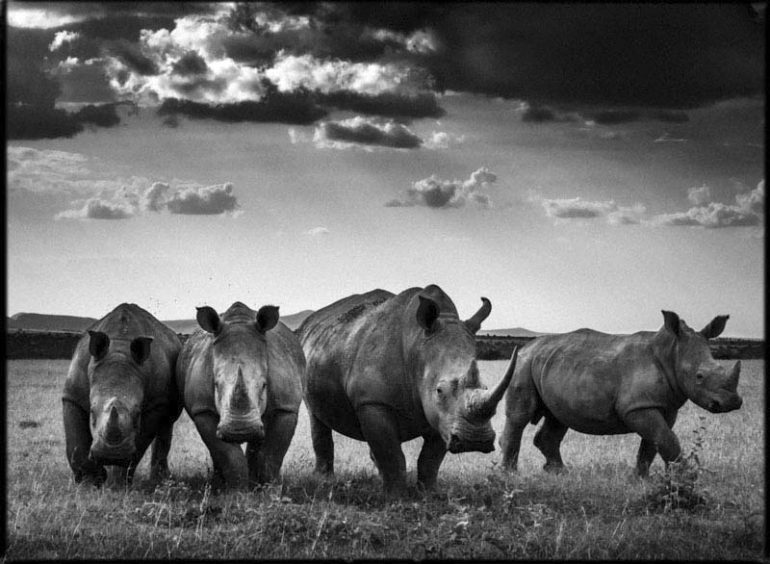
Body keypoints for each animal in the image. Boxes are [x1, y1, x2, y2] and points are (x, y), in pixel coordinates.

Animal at [62, 303, 182, 486]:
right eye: (92, 412)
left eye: (138, 413)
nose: (111, 455)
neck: (120, 350)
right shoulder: (72, 394)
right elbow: (75, 441)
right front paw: (89, 482)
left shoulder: (156, 403)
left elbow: (140, 443)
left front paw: (117, 482)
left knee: (167, 423)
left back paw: (161, 480)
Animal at [176, 302, 304, 489]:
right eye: (216, 385)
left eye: (264, 385)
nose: (240, 431)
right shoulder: (203, 410)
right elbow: (228, 456)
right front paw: (237, 491)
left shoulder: (286, 407)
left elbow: (271, 455)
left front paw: (270, 491)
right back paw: (219, 485)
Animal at [298, 285, 517, 495]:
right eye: (439, 390)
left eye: (485, 387)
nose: (475, 440)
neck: (418, 346)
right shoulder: (373, 401)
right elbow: (392, 455)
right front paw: (395, 498)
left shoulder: (440, 415)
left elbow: (430, 459)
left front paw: (429, 494)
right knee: (316, 417)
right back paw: (325, 479)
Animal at [500, 310, 742, 476]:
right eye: (699, 376)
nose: (732, 402)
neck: (671, 353)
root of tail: (526, 346)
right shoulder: (636, 406)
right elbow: (665, 438)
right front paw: (683, 479)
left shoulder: (662, 405)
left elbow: (655, 441)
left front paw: (641, 479)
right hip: (523, 364)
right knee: (520, 416)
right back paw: (510, 474)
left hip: (552, 366)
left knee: (557, 417)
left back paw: (559, 473)